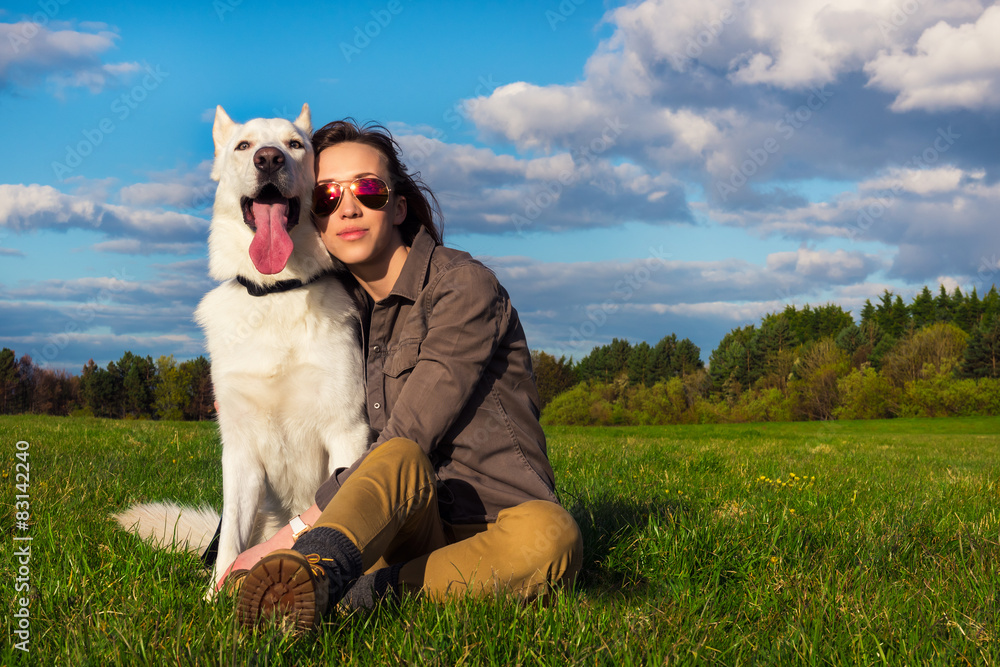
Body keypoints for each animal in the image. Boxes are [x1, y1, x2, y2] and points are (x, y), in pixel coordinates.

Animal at [115, 104, 370, 596]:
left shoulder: (348, 432)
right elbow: (230, 537)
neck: (275, 294)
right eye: (244, 145)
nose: (269, 159)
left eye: (295, 145)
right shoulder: (240, 451)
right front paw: (215, 596)